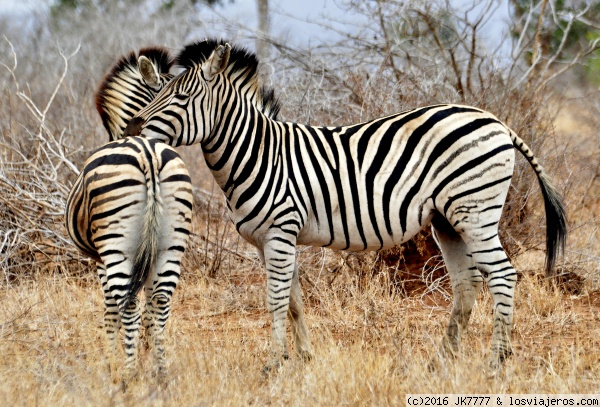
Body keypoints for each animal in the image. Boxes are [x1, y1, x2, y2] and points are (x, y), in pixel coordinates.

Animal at [65, 47, 192, 380]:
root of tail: (147, 154)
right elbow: (148, 310)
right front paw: (147, 352)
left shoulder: (101, 260)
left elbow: (110, 310)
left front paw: (112, 358)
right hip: (170, 246)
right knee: (159, 304)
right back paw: (160, 372)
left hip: (117, 248)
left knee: (127, 304)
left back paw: (128, 372)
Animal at [123, 39, 568, 372]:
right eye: (155, 93)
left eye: (181, 97)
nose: (133, 128)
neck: (257, 152)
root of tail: (496, 120)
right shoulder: (271, 240)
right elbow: (294, 301)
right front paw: (304, 358)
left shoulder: (280, 233)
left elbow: (276, 300)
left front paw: (274, 364)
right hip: (447, 221)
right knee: (466, 284)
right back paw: (442, 361)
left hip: (474, 212)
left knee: (503, 275)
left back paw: (497, 362)